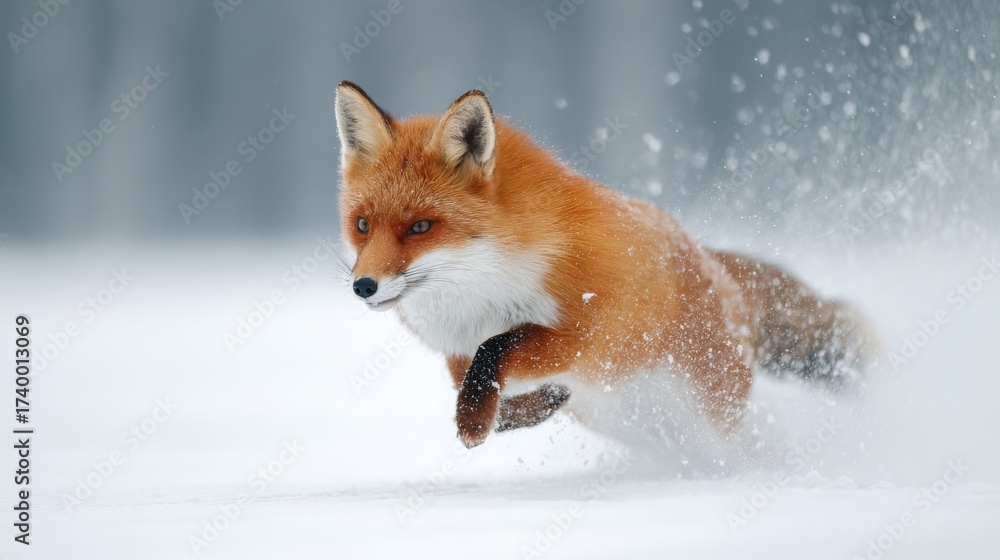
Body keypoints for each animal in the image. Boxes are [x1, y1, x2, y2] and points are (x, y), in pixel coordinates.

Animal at [334, 81, 878, 449]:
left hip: (708, 404)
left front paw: (473, 420)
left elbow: (498, 350)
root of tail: (705, 256)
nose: (364, 286)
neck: (483, 290)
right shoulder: (455, 350)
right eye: (362, 225)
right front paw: (508, 412)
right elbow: (482, 383)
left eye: (420, 227)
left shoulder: (587, 333)